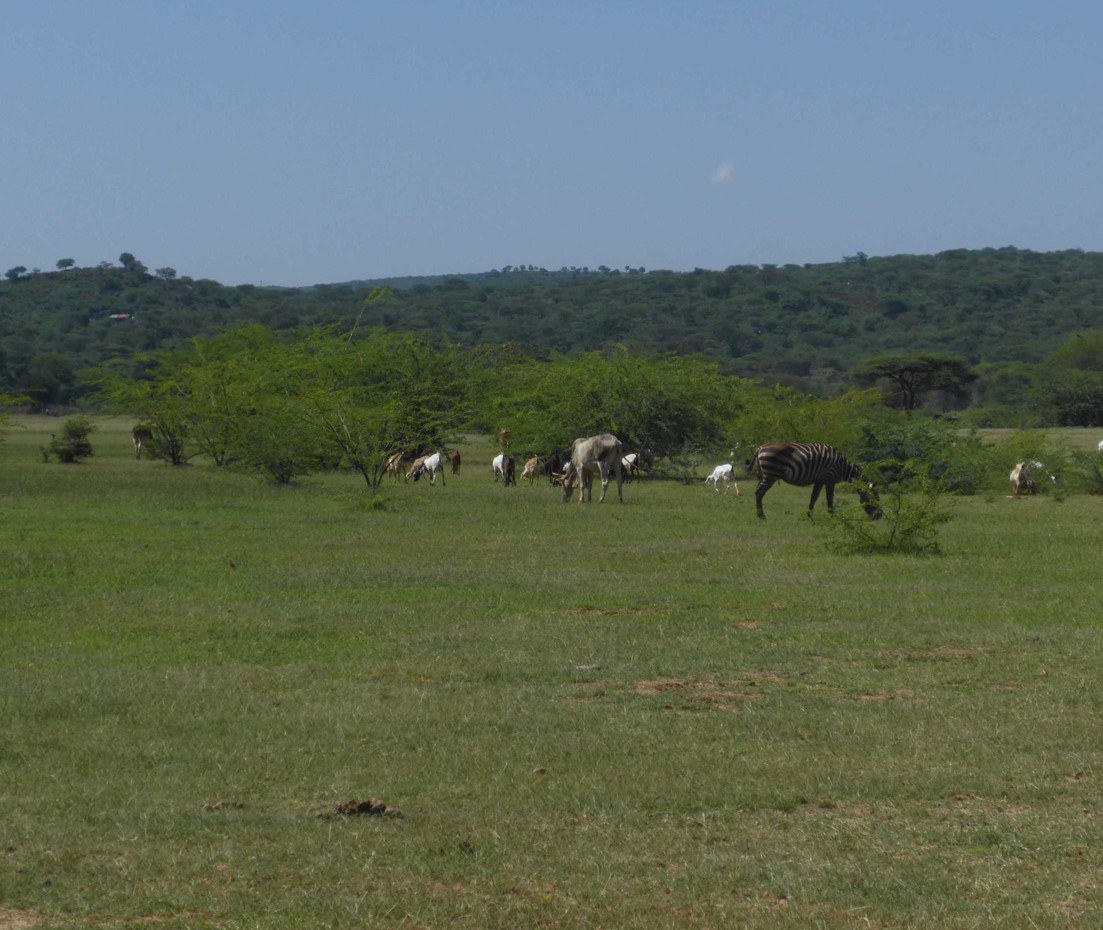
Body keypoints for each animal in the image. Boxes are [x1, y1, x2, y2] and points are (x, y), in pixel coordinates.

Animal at [745, 441, 882, 520]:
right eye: (875, 498)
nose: (879, 517)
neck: (842, 466)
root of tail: (760, 448)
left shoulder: (820, 480)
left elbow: (814, 497)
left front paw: (809, 515)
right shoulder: (829, 478)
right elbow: (829, 498)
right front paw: (833, 515)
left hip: (763, 475)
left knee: (757, 492)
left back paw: (760, 514)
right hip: (770, 475)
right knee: (759, 493)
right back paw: (761, 516)